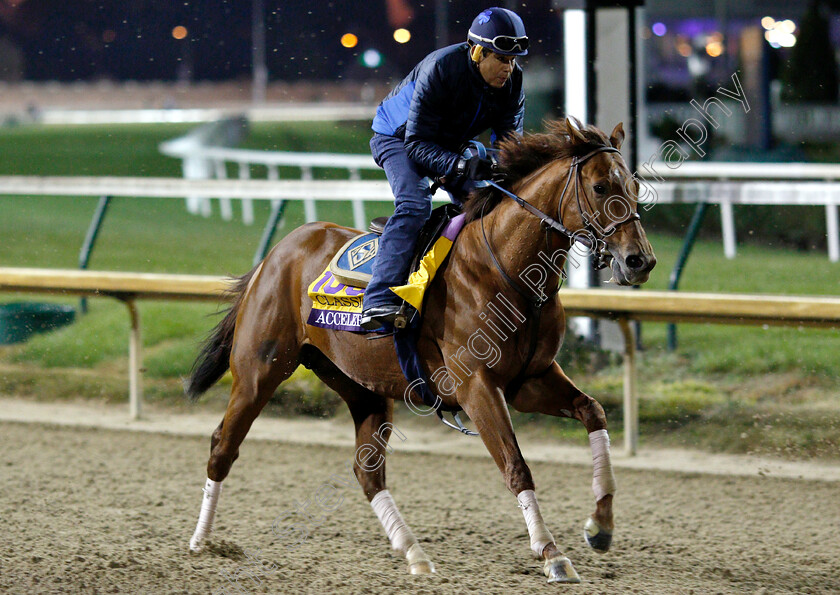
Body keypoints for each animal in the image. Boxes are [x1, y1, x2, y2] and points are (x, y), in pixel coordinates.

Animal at [184, 117, 656, 588]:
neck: (505, 268)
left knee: (367, 471)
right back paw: (200, 542)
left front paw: (600, 525)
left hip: (361, 385)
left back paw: (414, 553)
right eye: (599, 186)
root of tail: (276, 255)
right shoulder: (477, 386)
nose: (640, 261)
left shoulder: (530, 379)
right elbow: (516, 465)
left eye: (632, 184)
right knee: (222, 446)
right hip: (259, 370)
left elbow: (593, 411)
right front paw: (551, 553)